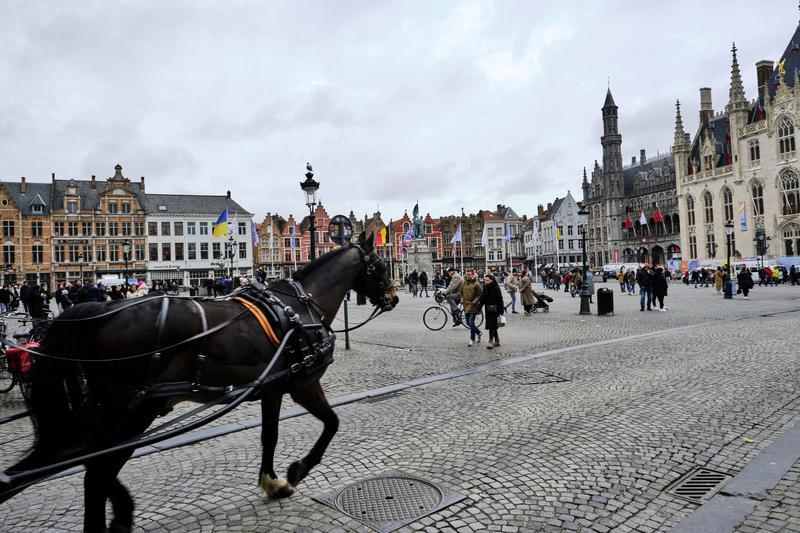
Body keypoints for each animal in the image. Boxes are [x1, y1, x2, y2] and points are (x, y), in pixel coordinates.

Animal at [0, 233, 396, 532]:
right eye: (378, 265)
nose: (392, 298)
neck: (300, 306)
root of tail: (98, 313)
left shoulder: (272, 387)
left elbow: (270, 435)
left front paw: (272, 482)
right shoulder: (304, 384)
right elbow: (332, 423)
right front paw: (296, 471)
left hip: (108, 413)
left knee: (88, 464)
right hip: (133, 410)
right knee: (98, 471)